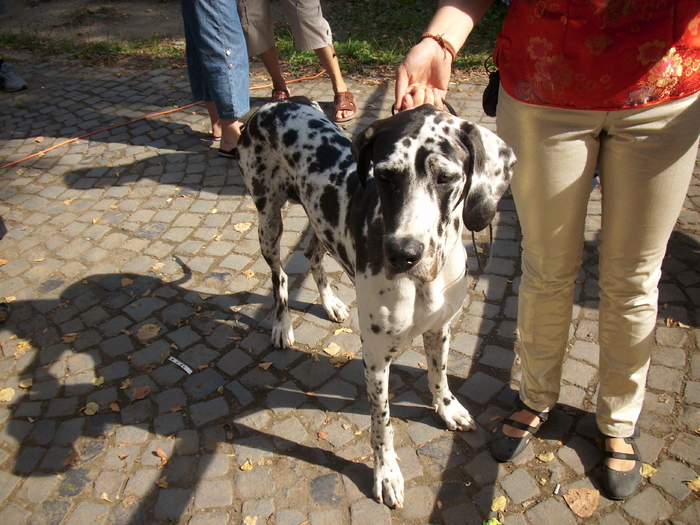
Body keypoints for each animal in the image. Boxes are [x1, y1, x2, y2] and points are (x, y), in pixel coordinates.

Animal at [238, 96, 516, 506]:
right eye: (384, 176)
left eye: (445, 177)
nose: (403, 254)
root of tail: (275, 103)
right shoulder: (375, 358)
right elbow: (382, 423)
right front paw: (386, 473)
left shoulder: (439, 329)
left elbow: (439, 376)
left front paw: (447, 409)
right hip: (268, 221)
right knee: (281, 275)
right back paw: (282, 324)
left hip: (320, 220)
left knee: (312, 253)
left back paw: (331, 303)